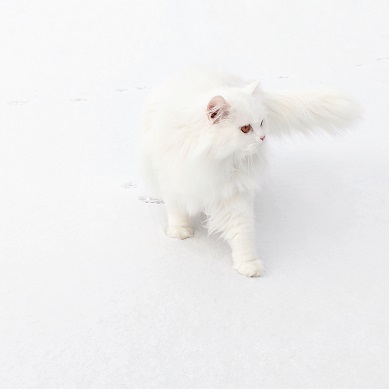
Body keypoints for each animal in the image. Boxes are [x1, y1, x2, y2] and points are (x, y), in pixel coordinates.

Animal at [138, 69, 360, 276]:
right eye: (245, 128)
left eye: (261, 123)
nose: (263, 137)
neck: (211, 160)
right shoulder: (173, 180)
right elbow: (177, 211)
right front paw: (179, 232)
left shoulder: (233, 193)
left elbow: (242, 233)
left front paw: (248, 265)